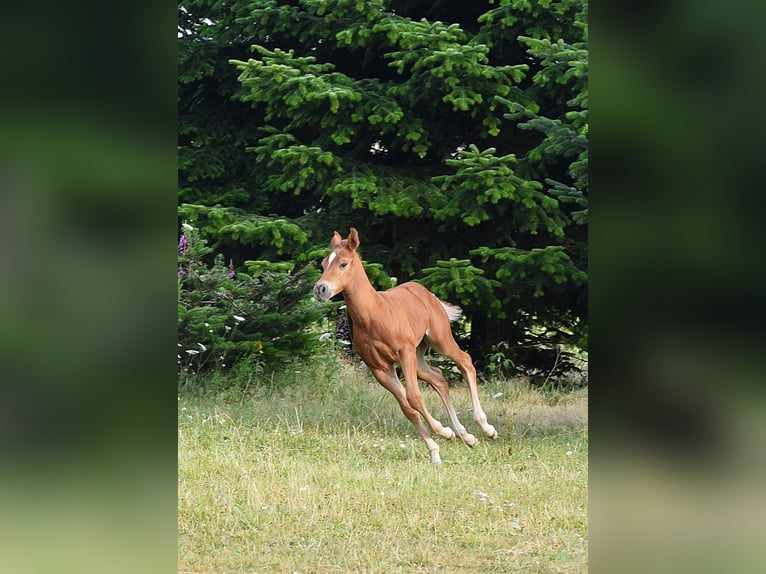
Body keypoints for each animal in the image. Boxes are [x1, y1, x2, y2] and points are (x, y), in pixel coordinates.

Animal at [313, 228, 497, 464]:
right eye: (323, 264)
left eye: (343, 263)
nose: (321, 289)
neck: (373, 315)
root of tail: (427, 293)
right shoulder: (379, 368)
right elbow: (407, 407)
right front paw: (436, 449)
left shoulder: (404, 352)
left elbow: (414, 397)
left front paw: (443, 431)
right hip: (419, 357)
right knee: (438, 377)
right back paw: (466, 436)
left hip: (438, 340)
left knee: (465, 362)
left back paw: (486, 428)